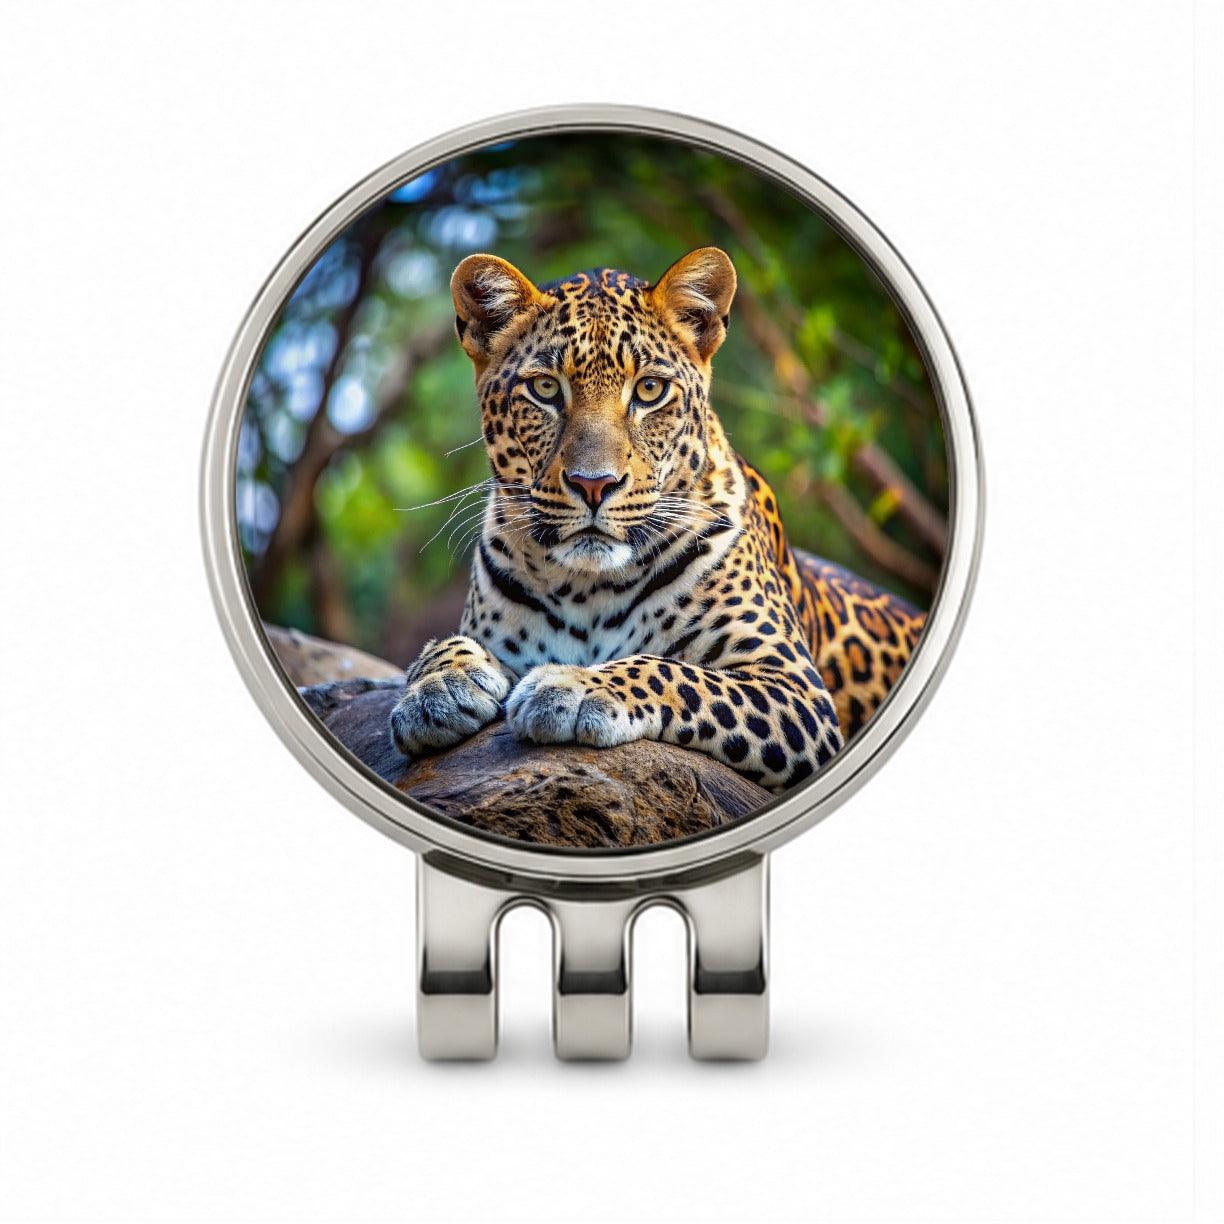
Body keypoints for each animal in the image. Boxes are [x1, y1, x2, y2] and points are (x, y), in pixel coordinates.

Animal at [389, 247, 926, 793]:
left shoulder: (794, 687)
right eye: (543, 388)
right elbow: (443, 644)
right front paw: (438, 687)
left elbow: (676, 672)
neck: (586, 587)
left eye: (649, 389)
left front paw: (575, 685)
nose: (594, 485)